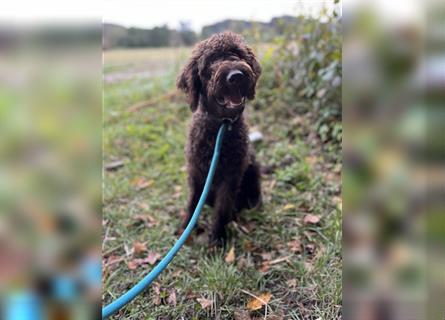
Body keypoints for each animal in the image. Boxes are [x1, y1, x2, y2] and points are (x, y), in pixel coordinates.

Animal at [176, 32, 260, 246]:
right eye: (210, 61)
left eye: (238, 54)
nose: (236, 76)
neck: (220, 127)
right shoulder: (196, 172)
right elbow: (193, 202)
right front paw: (186, 228)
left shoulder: (231, 176)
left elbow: (222, 207)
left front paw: (217, 239)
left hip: (252, 165)